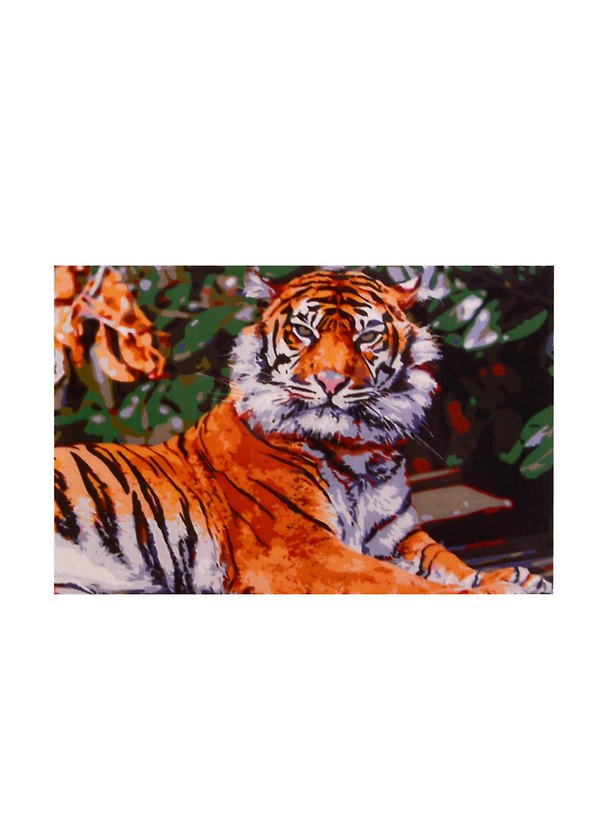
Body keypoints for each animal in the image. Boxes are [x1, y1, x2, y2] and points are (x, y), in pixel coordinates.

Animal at [54, 268, 552, 594]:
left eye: (367, 336)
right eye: (303, 332)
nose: (330, 382)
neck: (357, 450)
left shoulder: (398, 537)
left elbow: (449, 562)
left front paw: (512, 576)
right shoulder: (302, 549)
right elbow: (403, 584)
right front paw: (498, 589)